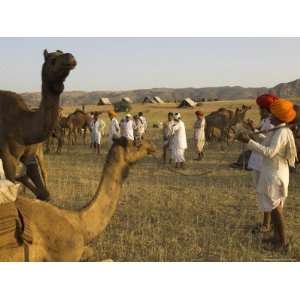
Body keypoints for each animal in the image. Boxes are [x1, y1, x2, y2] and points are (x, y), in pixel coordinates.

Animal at [0, 49, 76, 199]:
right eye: (52, 60)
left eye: (62, 53)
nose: (70, 57)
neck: (23, 123)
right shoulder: (8, 156)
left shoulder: (30, 157)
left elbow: (44, 193)